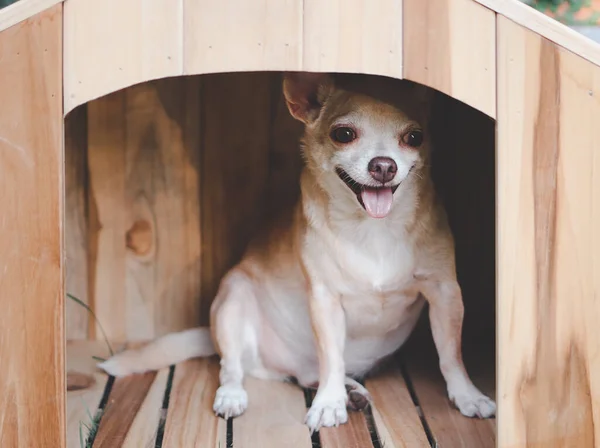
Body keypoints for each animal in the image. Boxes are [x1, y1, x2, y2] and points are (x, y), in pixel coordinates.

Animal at [101, 72, 496, 430]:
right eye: (344, 134)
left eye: (414, 137)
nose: (384, 165)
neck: (374, 229)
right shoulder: (325, 299)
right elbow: (332, 357)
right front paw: (328, 405)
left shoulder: (445, 292)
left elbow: (451, 353)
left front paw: (467, 395)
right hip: (232, 297)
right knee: (233, 367)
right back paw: (237, 395)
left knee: (309, 373)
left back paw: (350, 392)